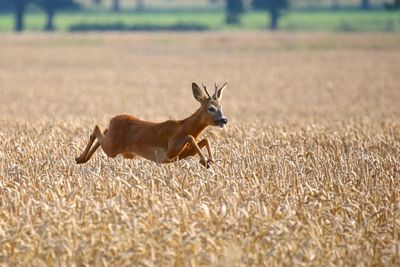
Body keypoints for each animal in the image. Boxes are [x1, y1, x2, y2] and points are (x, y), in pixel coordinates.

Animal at [75, 82, 228, 169]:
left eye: (221, 107)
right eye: (211, 108)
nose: (224, 120)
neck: (183, 126)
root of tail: (113, 120)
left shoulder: (182, 154)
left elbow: (205, 140)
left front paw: (210, 160)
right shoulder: (170, 151)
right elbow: (190, 137)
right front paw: (205, 161)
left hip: (117, 146)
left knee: (103, 131)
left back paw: (81, 159)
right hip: (112, 148)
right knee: (96, 129)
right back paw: (80, 158)